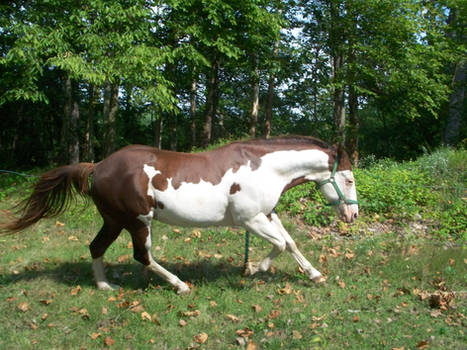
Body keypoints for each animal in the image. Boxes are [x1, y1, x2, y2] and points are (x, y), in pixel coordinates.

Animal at [1, 135, 358, 294]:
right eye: (350, 179)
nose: (352, 216)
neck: (264, 168)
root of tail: (99, 166)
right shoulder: (251, 220)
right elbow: (280, 246)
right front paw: (254, 269)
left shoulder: (267, 214)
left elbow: (291, 243)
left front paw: (314, 274)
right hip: (137, 222)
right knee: (142, 256)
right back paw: (180, 285)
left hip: (114, 221)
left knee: (96, 247)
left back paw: (104, 286)